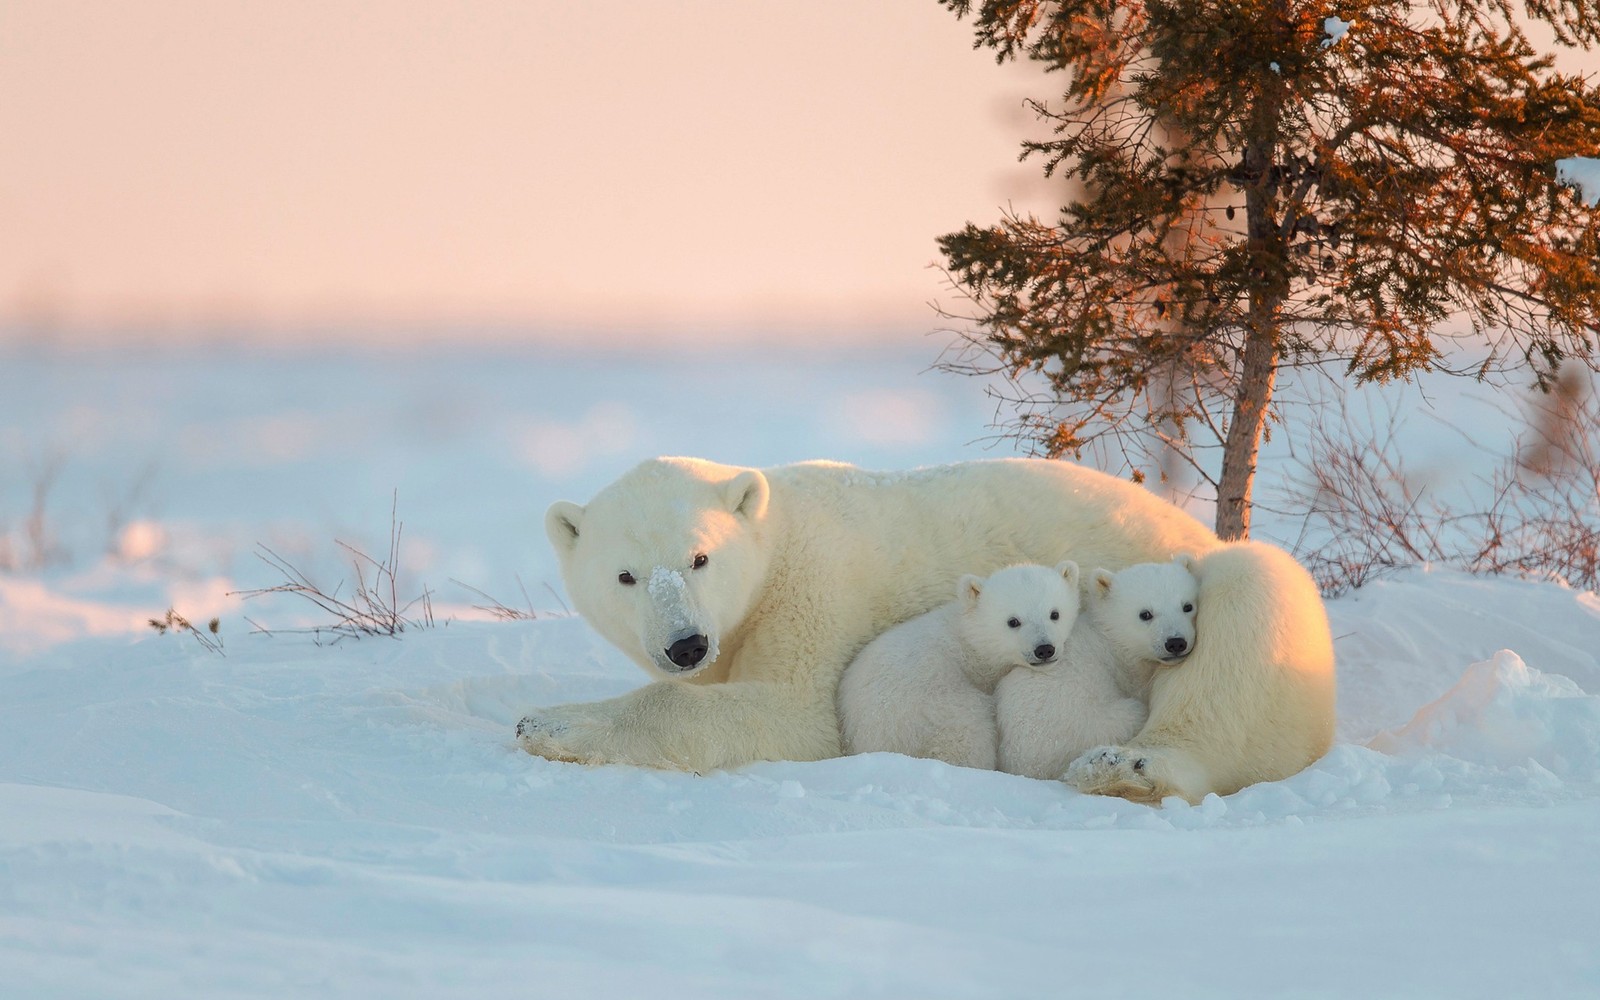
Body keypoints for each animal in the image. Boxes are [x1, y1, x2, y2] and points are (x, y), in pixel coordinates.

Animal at [518, 454, 1331, 803]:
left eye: (700, 556)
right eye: (625, 576)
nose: (686, 644)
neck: (777, 532)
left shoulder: (816, 590)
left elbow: (796, 715)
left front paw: (550, 723)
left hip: (1213, 597)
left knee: (1251, 604)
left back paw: (1125, 767)